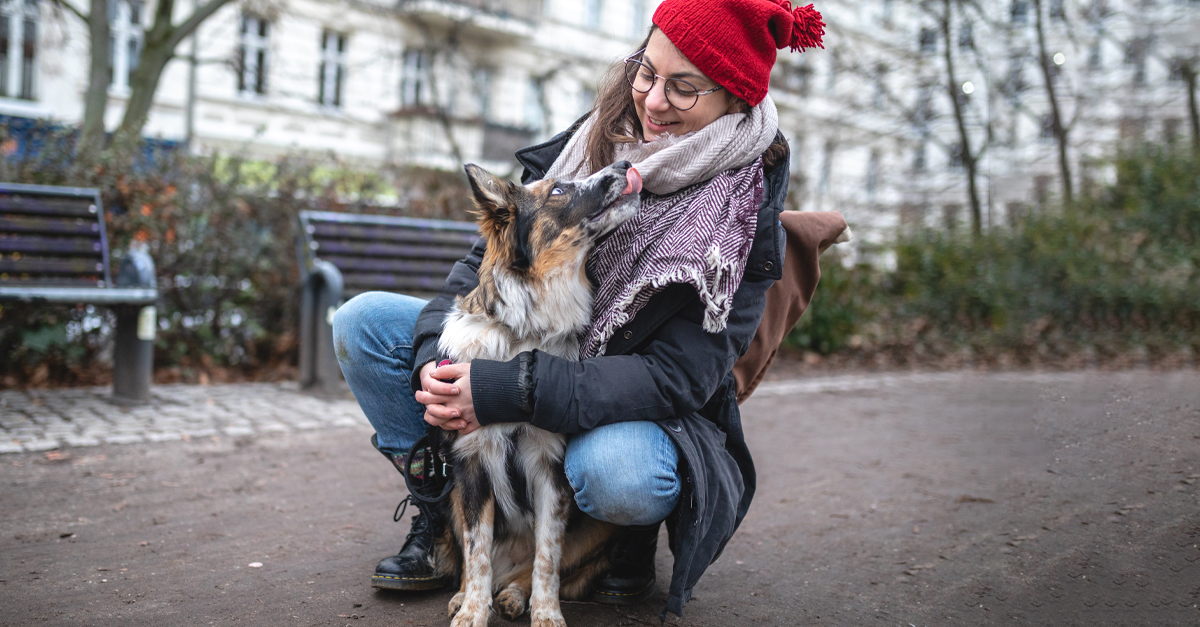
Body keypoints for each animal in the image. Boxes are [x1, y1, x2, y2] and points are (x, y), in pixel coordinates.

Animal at [432, 159, 643, 624]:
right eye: (558, 190)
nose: (624, 164)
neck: (524, 332)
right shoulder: (473, 465)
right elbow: (476, 552)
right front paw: (472, 611)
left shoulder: (551, 468)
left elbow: (548, 556)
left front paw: (546, 614)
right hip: (451, 495)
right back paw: (468, 594)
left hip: (600, 524)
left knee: (529, 568)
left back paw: (513, 594)